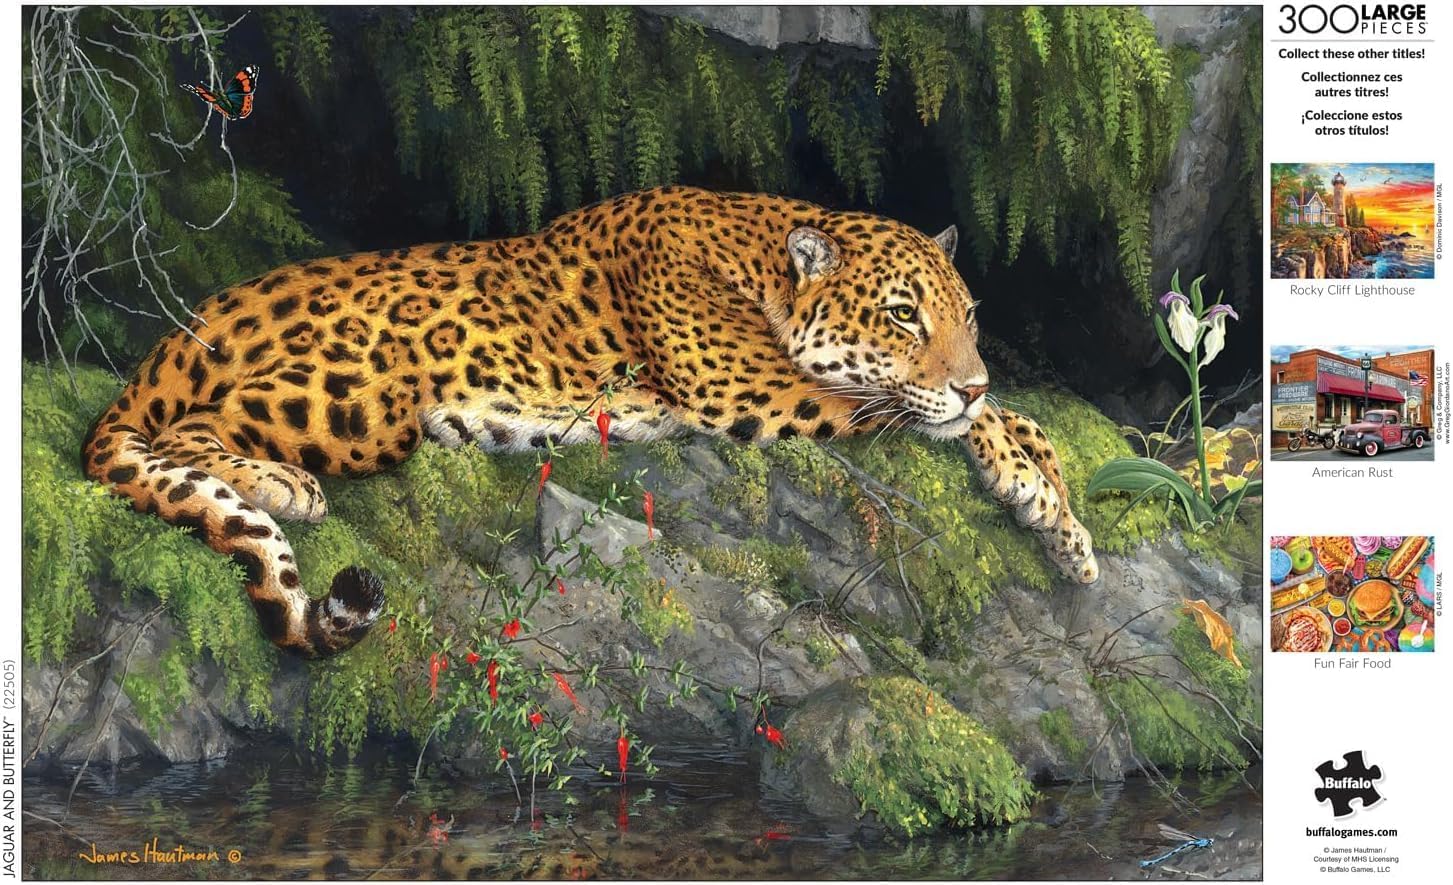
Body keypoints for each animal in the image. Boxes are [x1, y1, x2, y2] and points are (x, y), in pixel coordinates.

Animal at [81, 186, 1097, 658]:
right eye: (901, 316)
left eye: (968, 316)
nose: (970, 376)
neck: (760, 253)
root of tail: (177, 335)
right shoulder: (752, 387)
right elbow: (915, 409)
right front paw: (1022, 475)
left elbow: (1013, 419)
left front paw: (1061, 517)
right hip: (366, 391)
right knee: (191, 429)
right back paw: (283, 484)